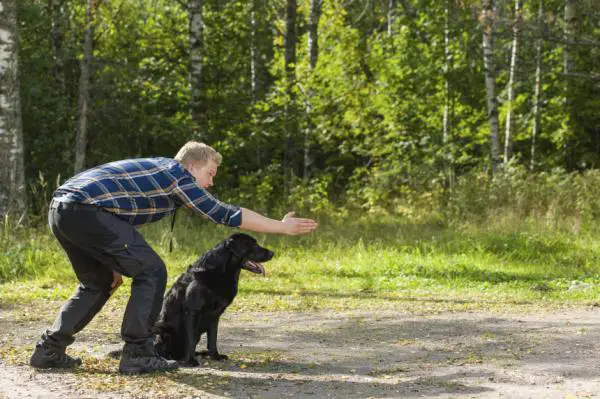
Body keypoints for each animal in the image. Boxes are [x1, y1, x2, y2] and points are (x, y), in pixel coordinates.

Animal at [154, 233, 274, 368]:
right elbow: (190, 340)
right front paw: (189, 361)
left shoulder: (215, 314)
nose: (272, 253)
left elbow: (213, 338)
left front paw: (215, 356)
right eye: (252, 245)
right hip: (161, 329)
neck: (220, 272)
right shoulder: (192, 311)